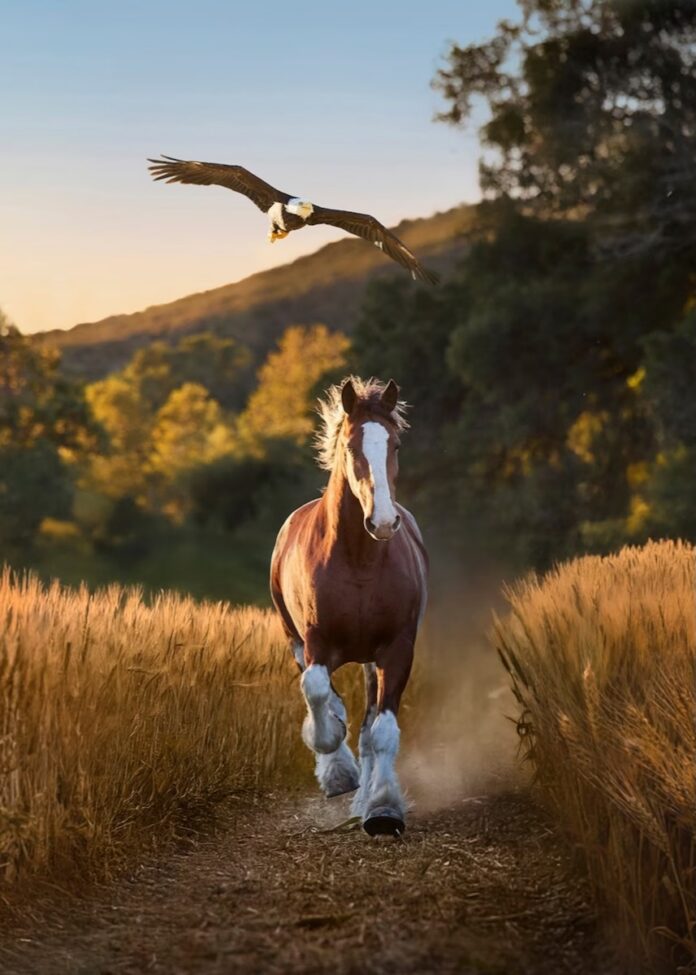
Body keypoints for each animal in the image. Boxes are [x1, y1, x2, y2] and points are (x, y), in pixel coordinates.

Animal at [270, 376, 428, 836]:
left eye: (395, 444)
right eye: (351, 446)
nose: (383, 522)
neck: (358, 559)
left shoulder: (397, 649)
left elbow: (382, 731)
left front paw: (383, 809)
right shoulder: (315, 643)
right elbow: (317, 691)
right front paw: (336, 767)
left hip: (371, 660)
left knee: (371, 723)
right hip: (295, 640)